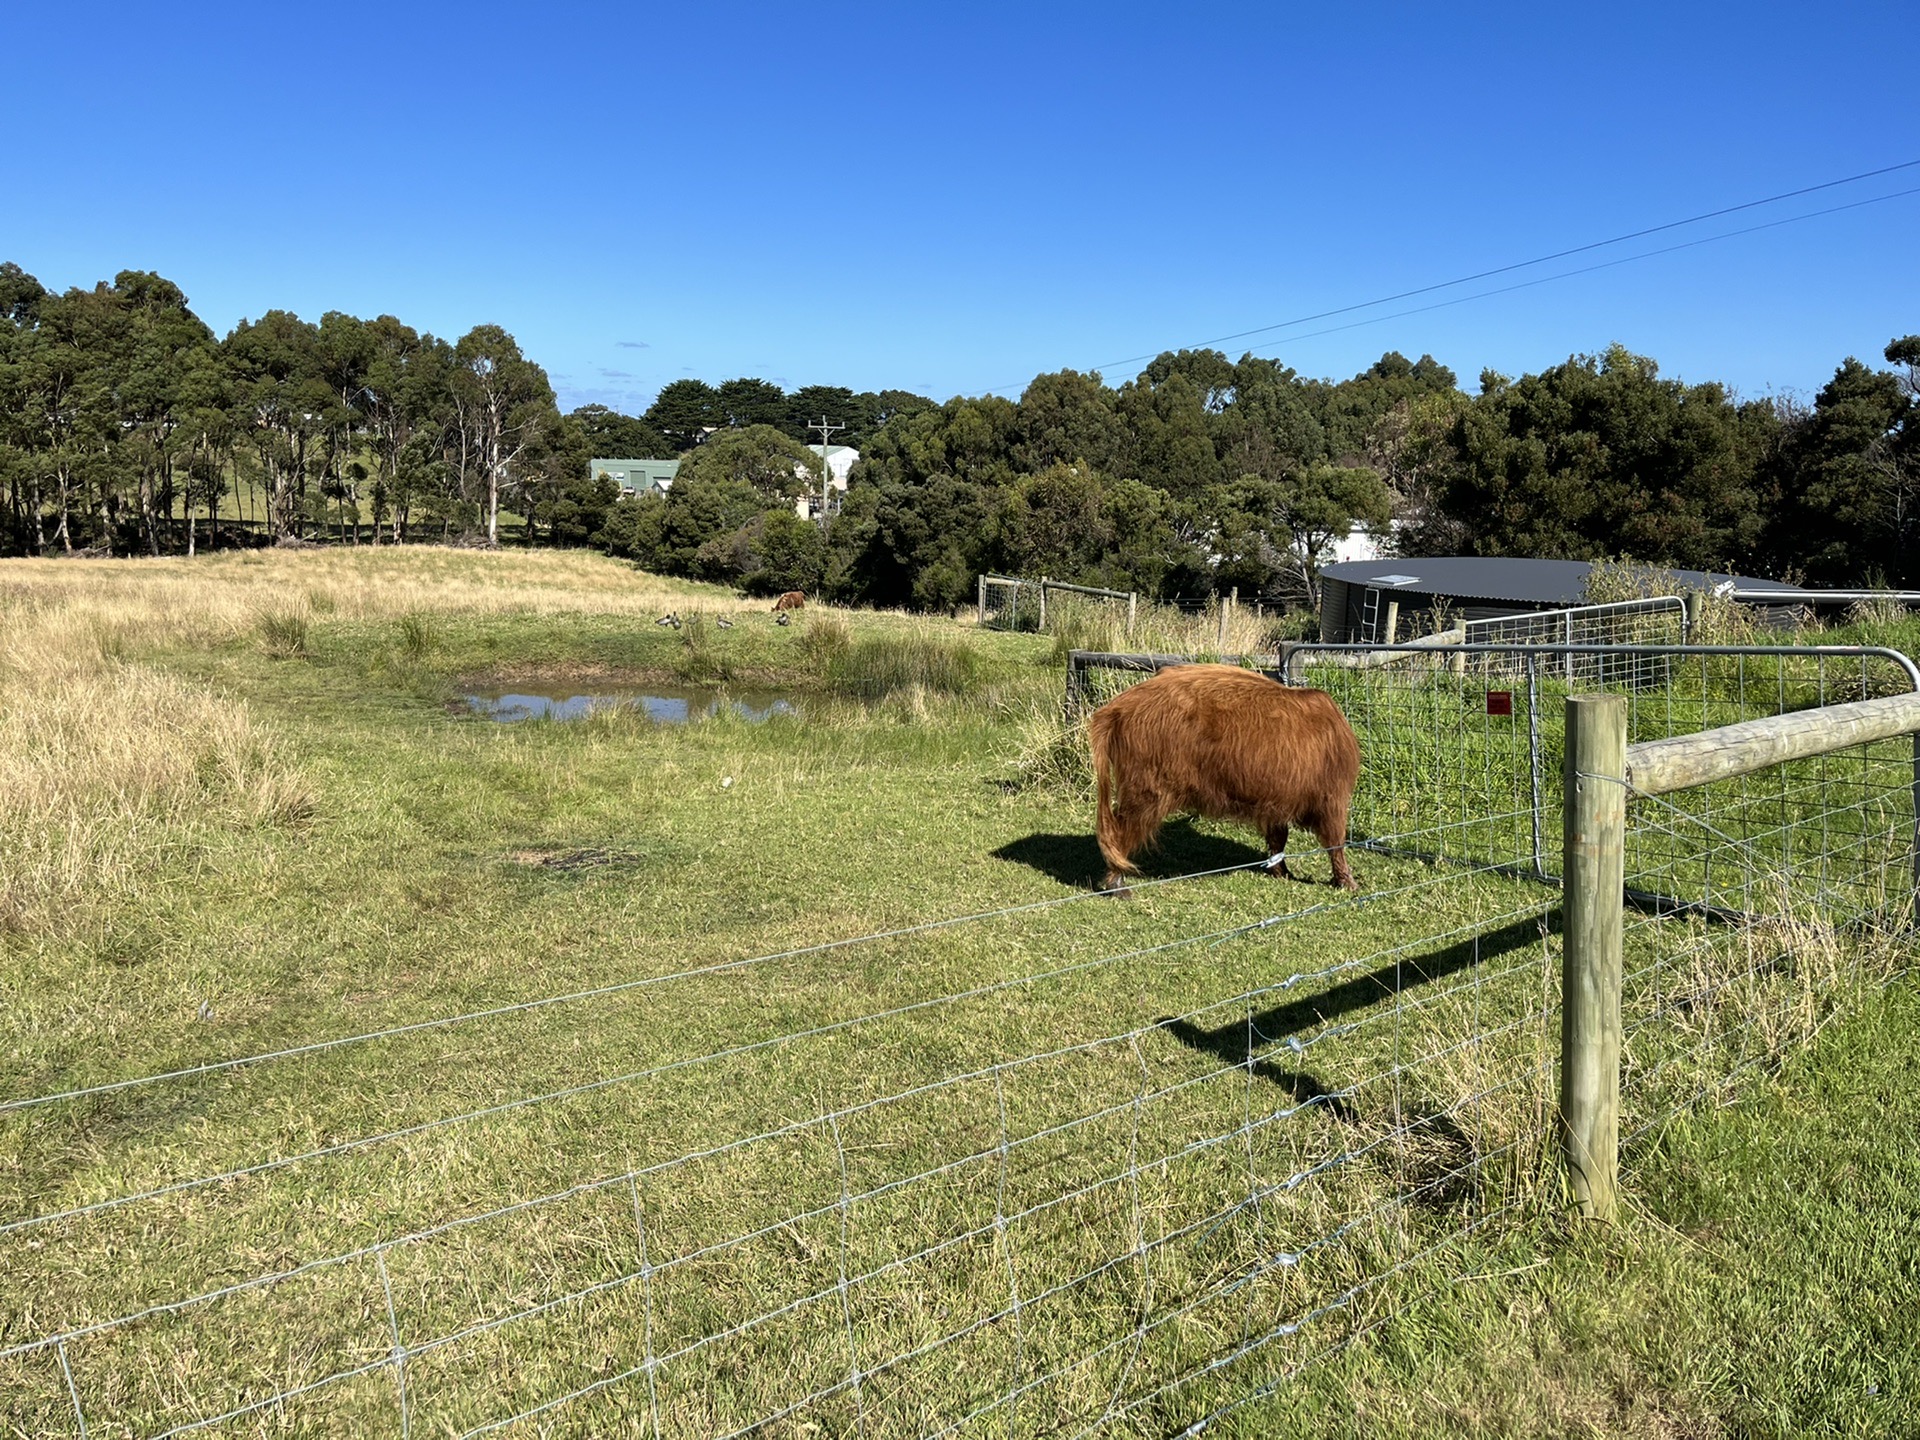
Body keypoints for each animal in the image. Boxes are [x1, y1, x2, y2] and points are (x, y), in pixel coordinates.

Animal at [1090, 668, 1359, 898]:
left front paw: (1280, 871)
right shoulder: (1332, 797)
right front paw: (1347, 882)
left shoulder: (1276, 800)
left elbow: (1278, 838)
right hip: (1146, 790)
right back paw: (1117, 883)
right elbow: (1335, 843)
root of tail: (1118, 707)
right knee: (1120, 830)